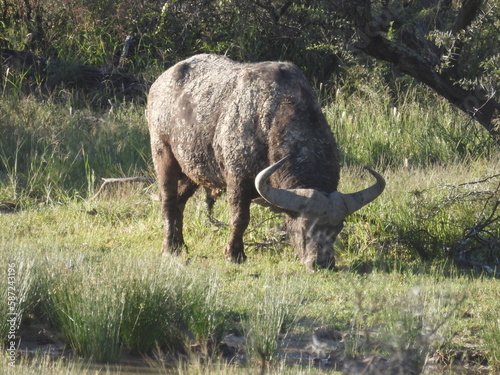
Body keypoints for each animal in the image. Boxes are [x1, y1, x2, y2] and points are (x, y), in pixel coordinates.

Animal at [146, 53, 384, 270]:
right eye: (305, 226)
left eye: (337, 228)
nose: (322, 262)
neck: (271, 117)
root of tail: (159, 83)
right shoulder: (238, 180)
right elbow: (240, 218)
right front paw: (234, 254)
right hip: (163, 154)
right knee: (168, 201)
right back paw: (169, 248)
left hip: (193, 170)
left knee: (179, 201)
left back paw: (179, 244)